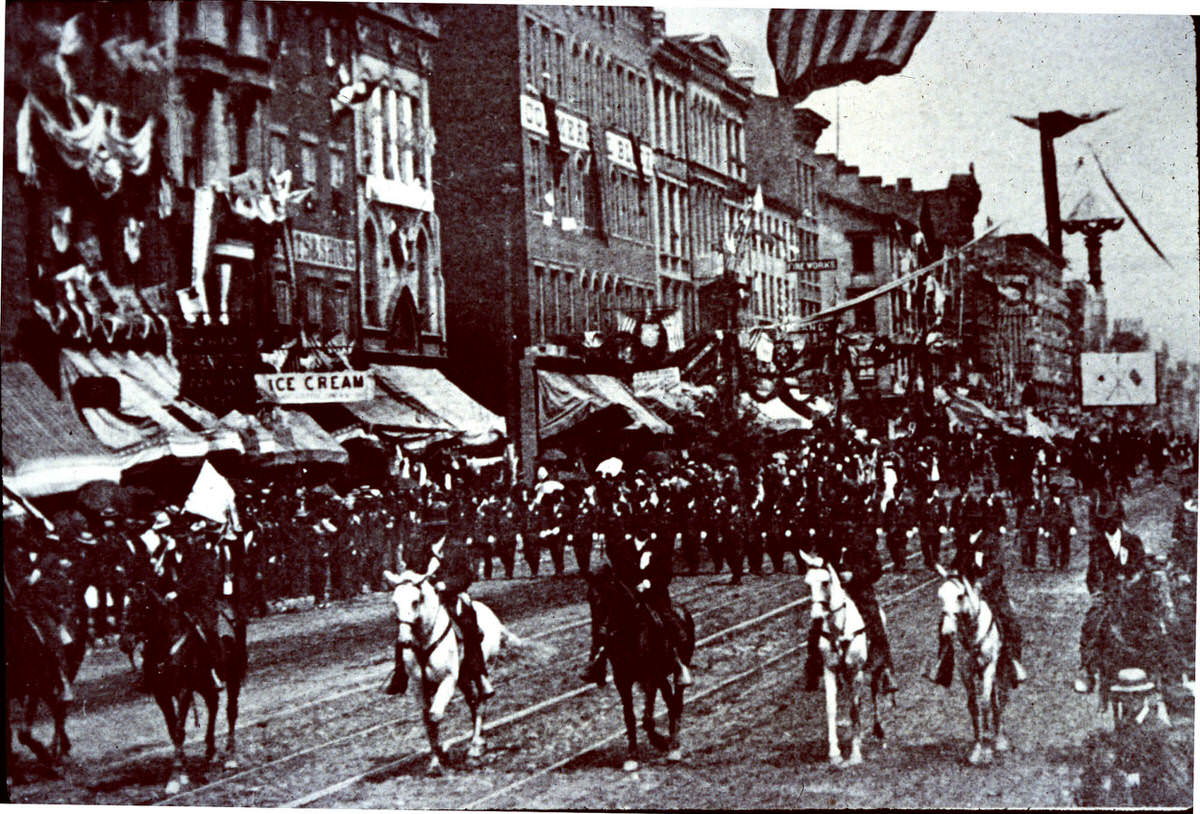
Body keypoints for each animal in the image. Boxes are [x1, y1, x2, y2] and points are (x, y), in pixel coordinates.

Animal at [121, 573, 246, 797]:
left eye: (141, 606)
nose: (124, 642)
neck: (165, 643)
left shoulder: (183, 691)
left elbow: (179, 731)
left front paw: (174, 778)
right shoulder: (162, 694)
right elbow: (173, 731)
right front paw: (184, 773)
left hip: (233, 678)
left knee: (231, 711)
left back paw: (230, 757)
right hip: (204, 683)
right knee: (213, 705)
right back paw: (211, 752)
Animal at [384, 561, 516, 777]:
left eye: (415, 601)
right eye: (394, 602)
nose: (404, 641)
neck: (424, 640)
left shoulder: (447, 680)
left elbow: (435, 715)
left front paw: (442, 756)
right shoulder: (419, 686)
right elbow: (427, 720)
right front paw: (436, 759)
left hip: (478, 669)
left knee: (481, 700)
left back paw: (475, 747)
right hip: (463, 678)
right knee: (472, 702)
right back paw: (477, 743)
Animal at [585, 564, 700, 773]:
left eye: (610, 596)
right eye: (589, 598)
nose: (600, 635)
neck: (630, 633)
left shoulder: (650, 677)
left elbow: (647, 718)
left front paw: (661, 742)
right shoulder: (622, 680)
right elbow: (629, 717)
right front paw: (632, 756)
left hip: (677, 668)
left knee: (677, 702)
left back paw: (674, 747)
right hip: (662, 676)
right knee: (670, 700)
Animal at [801, 547, 888, 773]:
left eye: (825, 582)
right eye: (807, 583)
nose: (816, 616)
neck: (838, 629)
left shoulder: (856, 671)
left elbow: (854, 710)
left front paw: (855, 754)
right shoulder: (830, 669)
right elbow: (831, 708)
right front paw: (835, 753)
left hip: (874, 666)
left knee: (874, 692)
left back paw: (879, 730)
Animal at [931, 564, 1008, 768]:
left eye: (960, 595)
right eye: (940, 596)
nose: (948, 631)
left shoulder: (990, 666)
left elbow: (986, 703)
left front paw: (988, 749)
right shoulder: (965, 670)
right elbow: (973, 706)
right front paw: (977, 749)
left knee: (997, 699)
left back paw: (1000, 739)